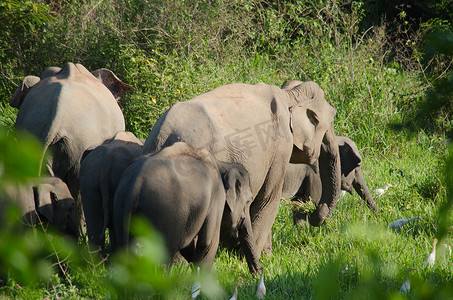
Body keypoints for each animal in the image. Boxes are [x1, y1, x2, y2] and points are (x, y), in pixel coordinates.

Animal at [112, 142, 260, 274]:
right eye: (248, 201)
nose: (258, 273)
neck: (221, 164)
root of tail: (136, 182)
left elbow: (189, 246)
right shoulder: (217, 197)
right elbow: (208, 242)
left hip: (121, 205)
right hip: (164, 212)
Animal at [143, 80, 340, 258]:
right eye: (329, 123)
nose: (314, 214)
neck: (290, 94)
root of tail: (165, 135)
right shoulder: (280, 149)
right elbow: (268, 199)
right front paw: (255, 258)